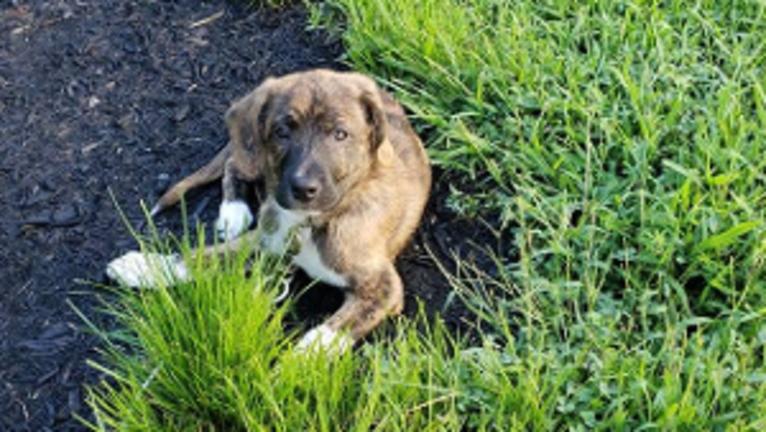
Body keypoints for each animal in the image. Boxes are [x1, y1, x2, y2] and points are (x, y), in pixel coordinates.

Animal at [106, 70, 436, 354]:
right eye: (281, 132)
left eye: (340, 134)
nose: (303, 189)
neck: (313, 221)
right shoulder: (267, 240)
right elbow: (201, 256)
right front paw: (145, 266)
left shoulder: (383, 287)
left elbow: (329, 333)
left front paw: (297, 366)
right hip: (256, 160)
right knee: (235, 162)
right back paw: (234, 210)